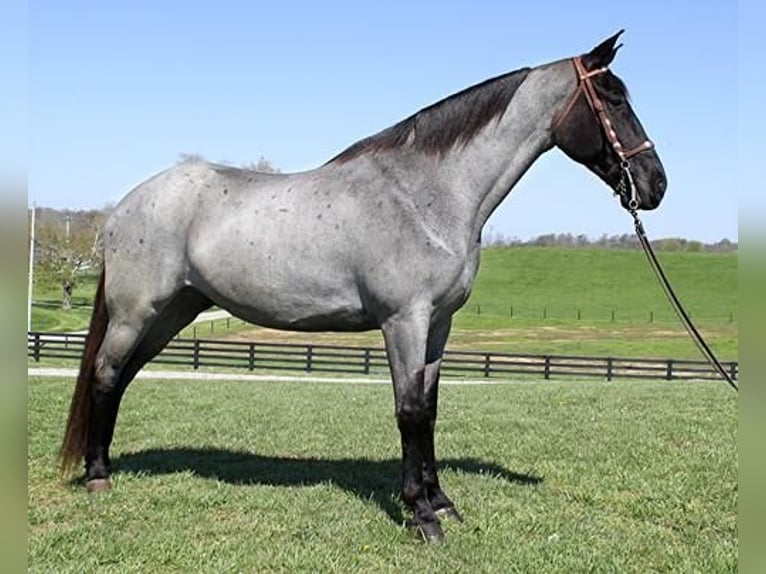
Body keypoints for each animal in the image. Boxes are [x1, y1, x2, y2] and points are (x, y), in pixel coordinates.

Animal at [61, 31, 664, 544]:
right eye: (613, 100)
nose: (655, 184)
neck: (427, 196)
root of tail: (124, 207)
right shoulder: (403, 320)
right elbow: (409, 411)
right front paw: (422, 516)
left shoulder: (438, 324)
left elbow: (430, 407)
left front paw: (440, 502)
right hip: (137, 312)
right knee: (106, 374)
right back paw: (97, 476)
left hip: (174, 312)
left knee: (122, 377)